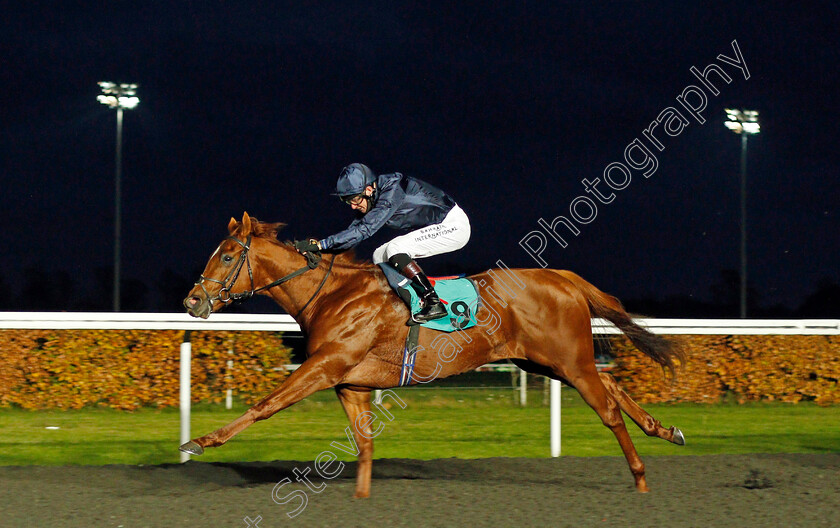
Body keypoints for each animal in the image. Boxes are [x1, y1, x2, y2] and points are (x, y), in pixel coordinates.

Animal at [182, 212, 684, 498]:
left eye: (227, 256)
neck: (332, 295)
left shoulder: (325, 366)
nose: (192, 300)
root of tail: (563, 277)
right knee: (613, 384)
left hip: (568, 361)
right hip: (544, 362)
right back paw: (665, 430)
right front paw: (361, 498)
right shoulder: (350, 381)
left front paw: (200, 442)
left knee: (607, 409)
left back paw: (640, 476)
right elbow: (364, 442)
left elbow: (265, 404)